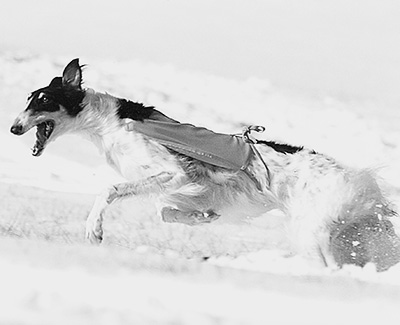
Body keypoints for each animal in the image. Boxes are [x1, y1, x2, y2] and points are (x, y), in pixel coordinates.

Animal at [9, 58, 400, 270]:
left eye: (43, 100)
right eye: (28, 99)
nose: (13, 128)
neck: (110, 123)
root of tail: (354, 177)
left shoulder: (175, 172)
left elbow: (110, 189)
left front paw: (94, 230)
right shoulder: (188, 187)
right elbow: (166, 211)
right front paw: (201, 217)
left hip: (314, 228)